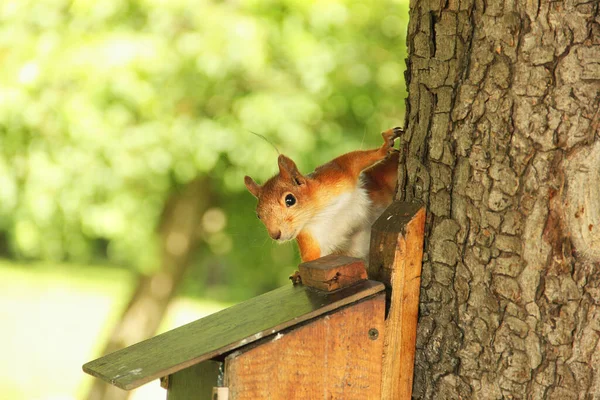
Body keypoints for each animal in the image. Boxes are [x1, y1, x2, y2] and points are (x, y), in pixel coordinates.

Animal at [244, 128, 404, 264]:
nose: (275, 234)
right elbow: (310, 258)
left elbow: (356, 158)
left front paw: (385, 145)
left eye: (290, 200)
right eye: (258, 215)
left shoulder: (336, 173)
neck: (319, 211)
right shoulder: (309, 239)